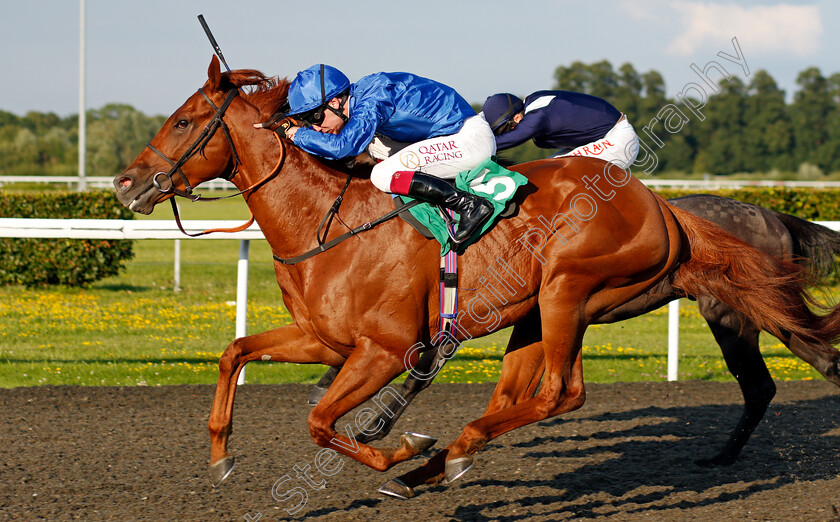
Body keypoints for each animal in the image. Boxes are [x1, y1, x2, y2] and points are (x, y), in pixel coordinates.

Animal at [310, 192, 840, 468]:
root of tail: (773, 214)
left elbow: (420, 366)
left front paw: (375, 422)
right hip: (766, 310)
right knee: (815, 363)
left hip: (730, 315)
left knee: (761, 383)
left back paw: (722, 457)